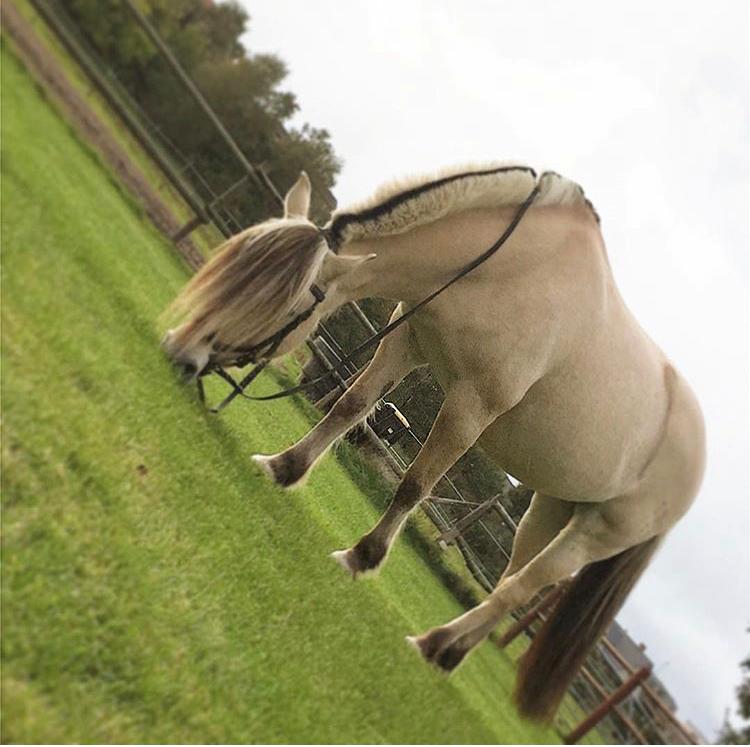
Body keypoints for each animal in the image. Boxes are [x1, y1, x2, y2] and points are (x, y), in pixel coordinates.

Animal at [162, 164, 708, 720]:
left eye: (284, 300)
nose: (178, 352)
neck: (511, 269)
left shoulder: (472, 407)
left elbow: (414, 485)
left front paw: (361, 557)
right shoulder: (407, 342)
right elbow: (348, 408)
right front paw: (283, 467)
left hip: (599, 532)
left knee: (524, 588)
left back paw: (431, 643)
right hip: (550, 508)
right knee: (514, 581)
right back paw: (450, 652)